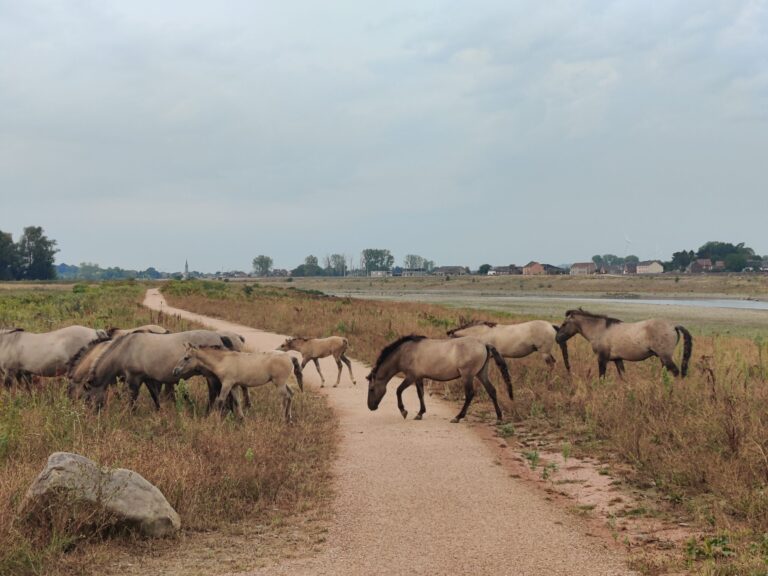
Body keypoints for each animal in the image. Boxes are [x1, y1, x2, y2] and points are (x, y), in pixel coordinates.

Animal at [173, 346, 304, 424]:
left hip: (279, 383)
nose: (175, 371)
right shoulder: (234, 385)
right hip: (282, 383)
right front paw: (242, 419)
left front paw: (213, 419)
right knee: (291, 394)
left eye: (186, 358)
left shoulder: (227, 384)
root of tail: (289, 356)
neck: (223, 361)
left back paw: (281, 418)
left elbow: (220, 401)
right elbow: (237, 402)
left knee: (285, 397)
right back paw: (289, 419)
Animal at [364, 332, 512, 424]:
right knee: (492, 391)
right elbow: (420, 394)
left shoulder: (411, 377)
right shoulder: (418, 378)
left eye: (371, 389)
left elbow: (398, 391)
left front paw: (404, 411)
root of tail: (484, 344)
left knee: (470, 394)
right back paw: (499, 418)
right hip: (481, 373)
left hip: (467, 376)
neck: (404, 352)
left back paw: (458, 417)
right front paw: (420, 413)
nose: (371, 407)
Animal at [556, 308, 692, 380]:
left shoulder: (602, 359)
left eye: (564, 324)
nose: (557, 338)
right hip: (663, 359)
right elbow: (623, 377)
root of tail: (673, 326)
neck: (601, 330)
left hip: (665, 357)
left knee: (675, 372)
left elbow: (601, 376)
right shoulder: (618, 360)